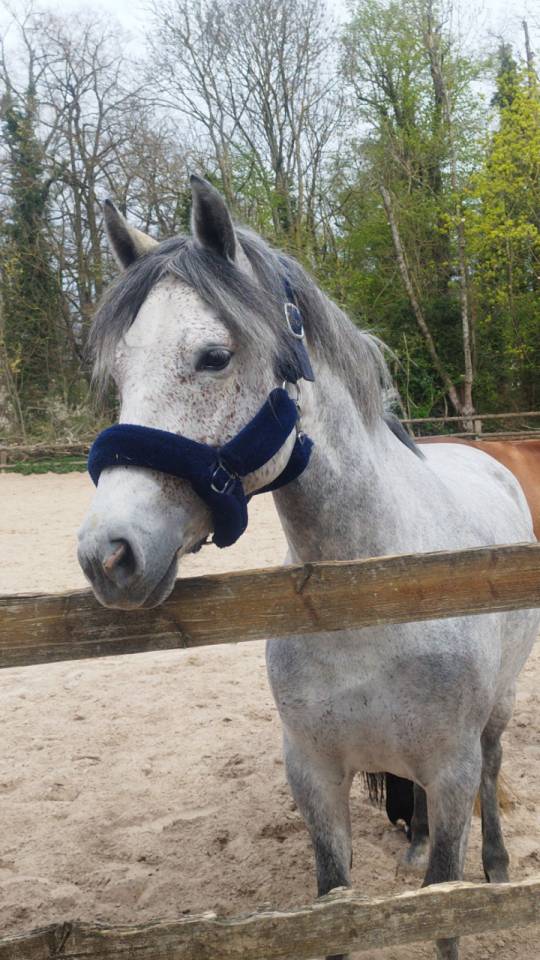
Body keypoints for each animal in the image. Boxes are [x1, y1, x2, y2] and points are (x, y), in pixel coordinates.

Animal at [78, 176, 540, 960]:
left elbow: (445, 907)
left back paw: (501, 866)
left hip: (496, 715)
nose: (108, 553)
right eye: (120, 371)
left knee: (495, 767)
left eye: (214, 356)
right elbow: (334, 904)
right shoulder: (316, 776)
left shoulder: (451, 771)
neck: (373, 591)